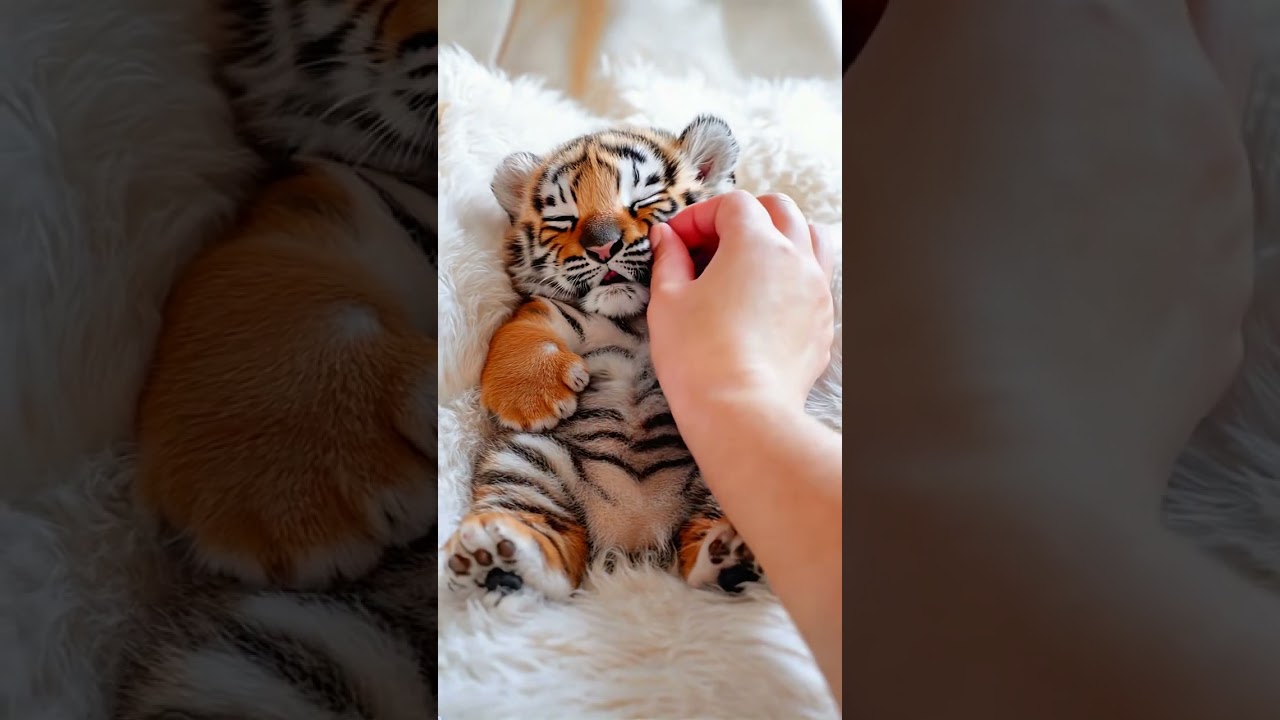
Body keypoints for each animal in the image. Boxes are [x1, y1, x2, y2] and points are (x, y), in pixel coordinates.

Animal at [442, 115, 766, 601]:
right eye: (564, 219)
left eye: (643, 201)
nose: (602, 247)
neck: (633, 319)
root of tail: (632, 541)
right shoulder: (550, 310)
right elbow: (517, 330)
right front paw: (530, 400)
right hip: (528, 460)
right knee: (546, 538)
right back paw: (495, 557)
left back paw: (734, 553)